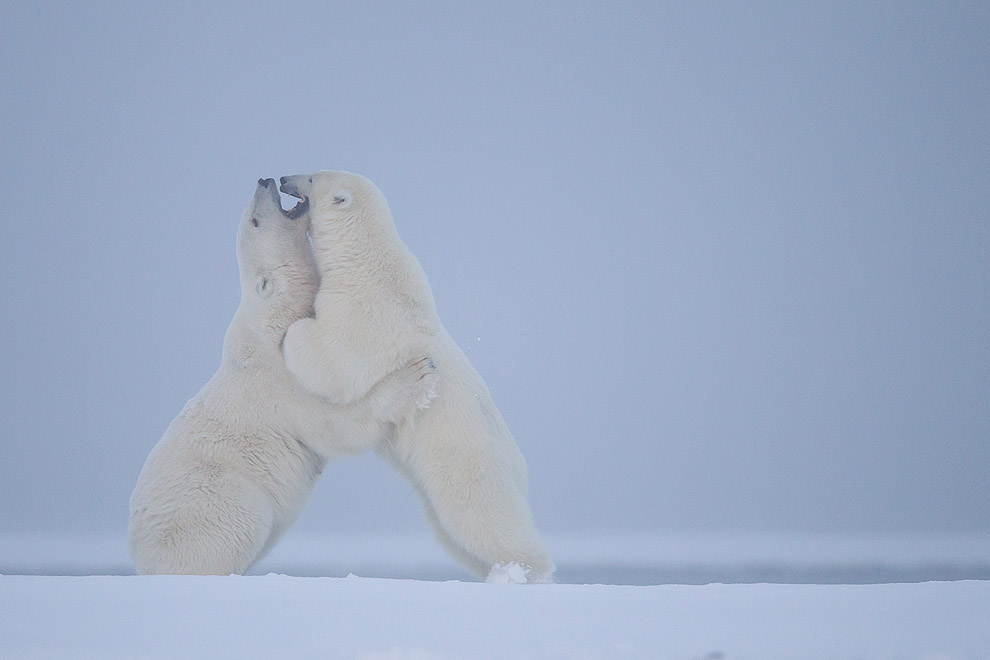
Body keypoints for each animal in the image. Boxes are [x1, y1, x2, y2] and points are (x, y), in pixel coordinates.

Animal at [126, 178, 436, 576]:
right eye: (255, 220)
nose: (263, 180)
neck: (273, 320)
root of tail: (140, 557)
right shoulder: (280, 381)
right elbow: (333, 425)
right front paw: (416, 374)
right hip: (215, 499)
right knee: (237, 524)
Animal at [280, 171, 560, 584]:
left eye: (312, 177)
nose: (283, 178)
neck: (363, 261)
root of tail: (519, 467)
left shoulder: (365, 315)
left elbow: (337, 363)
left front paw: (292, 333)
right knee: (453, 535)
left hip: (466, 464)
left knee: (481, 520)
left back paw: (523, 572)